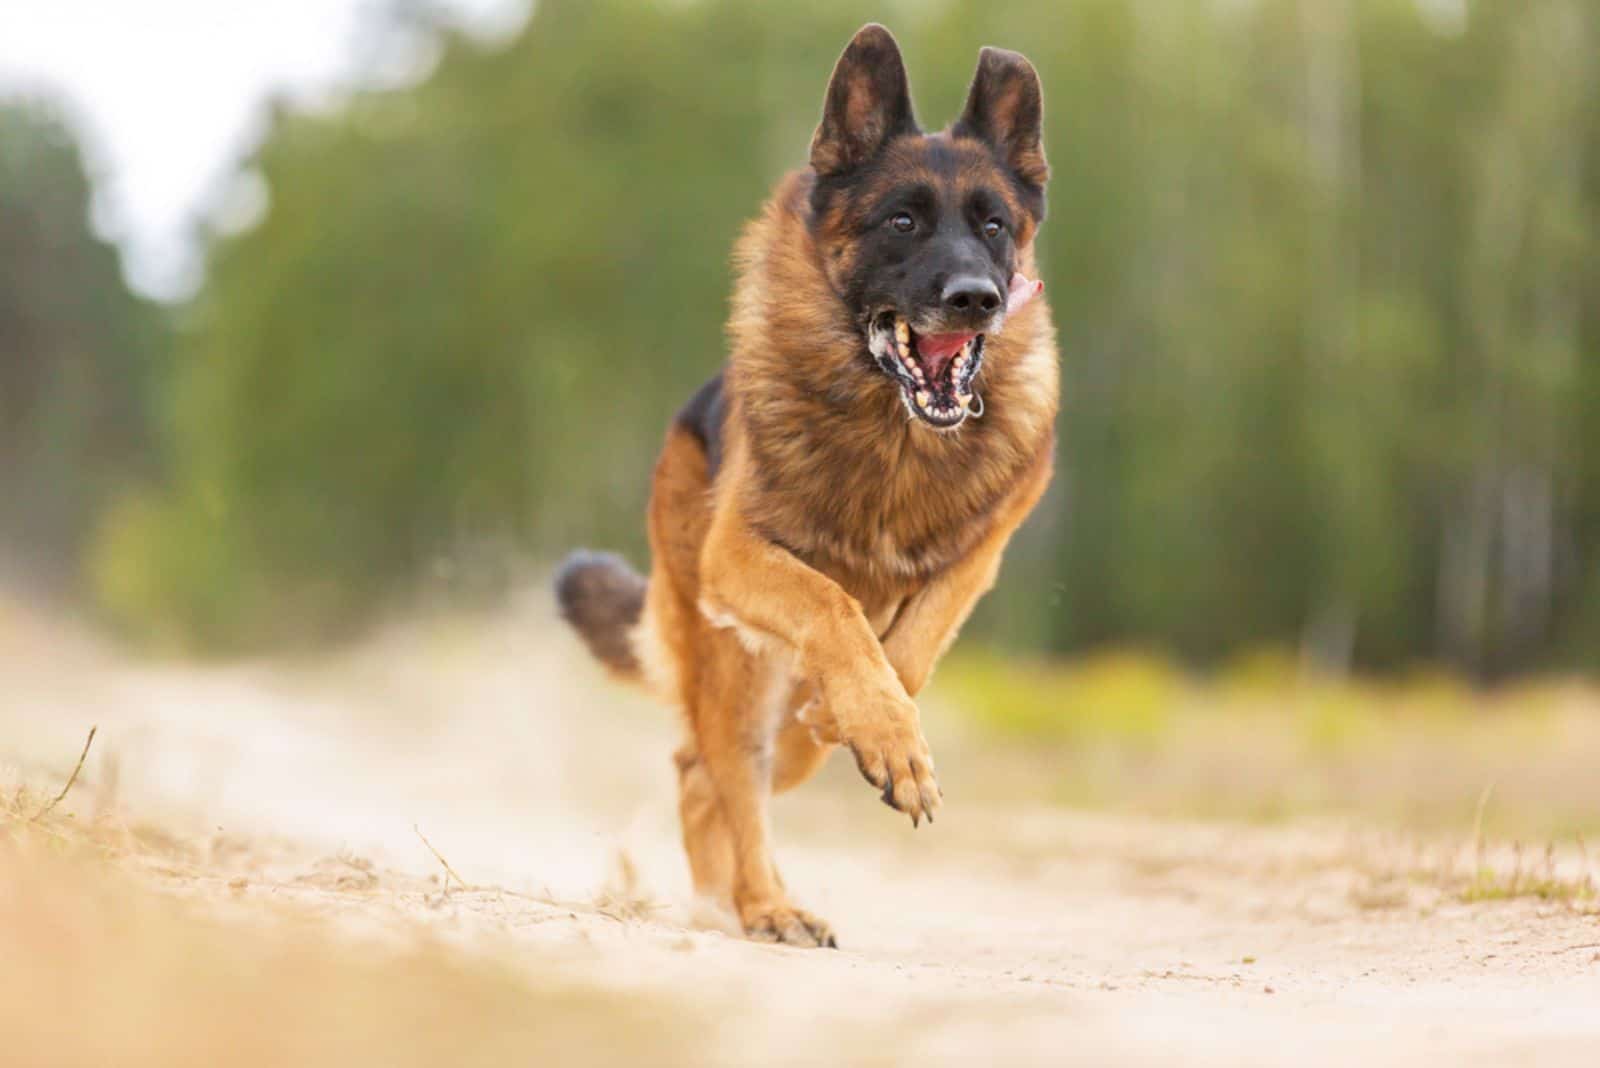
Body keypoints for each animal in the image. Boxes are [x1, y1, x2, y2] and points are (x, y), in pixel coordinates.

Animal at [556, 22, 1056, 940]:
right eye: (902, 220)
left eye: (995, 225)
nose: (975, 298)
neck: (894, 437)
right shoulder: (739, 558)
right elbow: (834, 605)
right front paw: (882, 729)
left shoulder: (981, 555)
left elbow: (913, 645)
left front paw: (872, 722)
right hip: (733, 662)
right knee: (719, 770)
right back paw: (761, 903)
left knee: (720, 772)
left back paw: (744, 885)